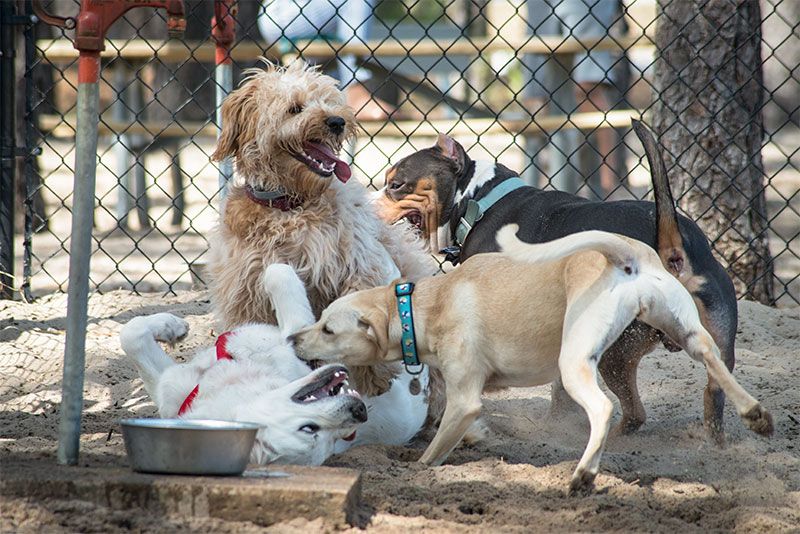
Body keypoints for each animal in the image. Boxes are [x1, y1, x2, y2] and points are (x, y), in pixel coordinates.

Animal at [206, 61, 432, 398]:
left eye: (329, 101)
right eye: (294, 108)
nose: (337, 121)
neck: (290, 206)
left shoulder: (359, 265)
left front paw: (374, 377)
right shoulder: (245, 293)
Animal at [290, 225, 772, 494]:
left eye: (328, 328)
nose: (293, 338)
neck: (419, 307)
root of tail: (626, 256)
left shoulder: (465, 400)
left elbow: (432, 453)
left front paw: (418, 470)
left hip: (576, 362)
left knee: (603, 409)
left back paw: (583, 475)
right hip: (687, 332)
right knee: (714, 362)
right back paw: (755, 414)